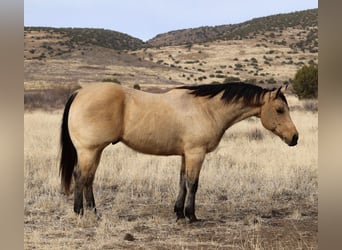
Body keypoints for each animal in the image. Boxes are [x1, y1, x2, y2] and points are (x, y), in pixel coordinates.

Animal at [60, 82, 298, 223]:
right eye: (280, 110)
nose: (294, 137)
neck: (206, 108)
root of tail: (79, 92)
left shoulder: (186, 155)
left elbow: (182, 181)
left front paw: (179, 213)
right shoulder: (196, 153)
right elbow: (193, 183)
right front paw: (191, 216)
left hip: (95, 151)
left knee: (88, 179)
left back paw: (94, 212)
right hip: (89, 151)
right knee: (81, 177)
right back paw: (80, 212)